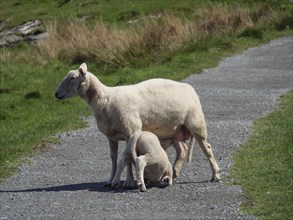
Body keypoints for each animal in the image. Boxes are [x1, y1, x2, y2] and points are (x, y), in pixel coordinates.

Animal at [54, 62, 219, 187]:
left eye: (73, 78)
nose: (56, 94)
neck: (106, 99)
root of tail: (189, 87)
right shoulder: (111, 136)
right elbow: (113, 158)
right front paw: (110, 179)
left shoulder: (131, 131)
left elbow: (128, 157)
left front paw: (128, 181)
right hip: (174, 130)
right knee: (182, 150)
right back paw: (174, 171)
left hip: (196, 123)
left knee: (207, 148)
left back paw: (215, 174)